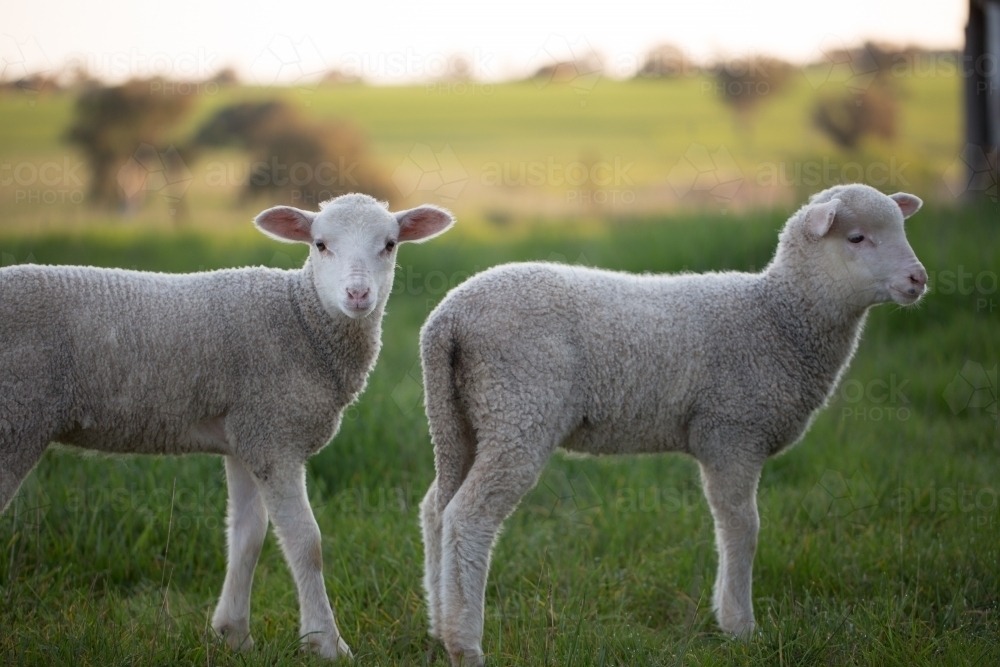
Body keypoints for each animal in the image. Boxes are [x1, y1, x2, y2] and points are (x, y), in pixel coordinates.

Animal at [0, 193, 454, 661]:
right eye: (320, 244)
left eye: (390, 244)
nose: (358, 294)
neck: (301, 319)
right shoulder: (274, 433)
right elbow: (305, 542)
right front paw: (326, 643)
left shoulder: (245, 435)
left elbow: (247, 535)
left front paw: (233, 633)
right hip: (18, 417)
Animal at [418, 184, 927, 665]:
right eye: (857, 237)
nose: (918, 278)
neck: (778, 317)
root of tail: (447, 318)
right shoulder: (732, 430)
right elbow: (743, 526)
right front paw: (741, 627)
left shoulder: (725, 436)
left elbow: (732, 525)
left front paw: (728, 616)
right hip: (519, 410)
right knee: (468, 516)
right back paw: (466, 646)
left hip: (461, 417)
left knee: (435, 508)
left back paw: (439, 628)